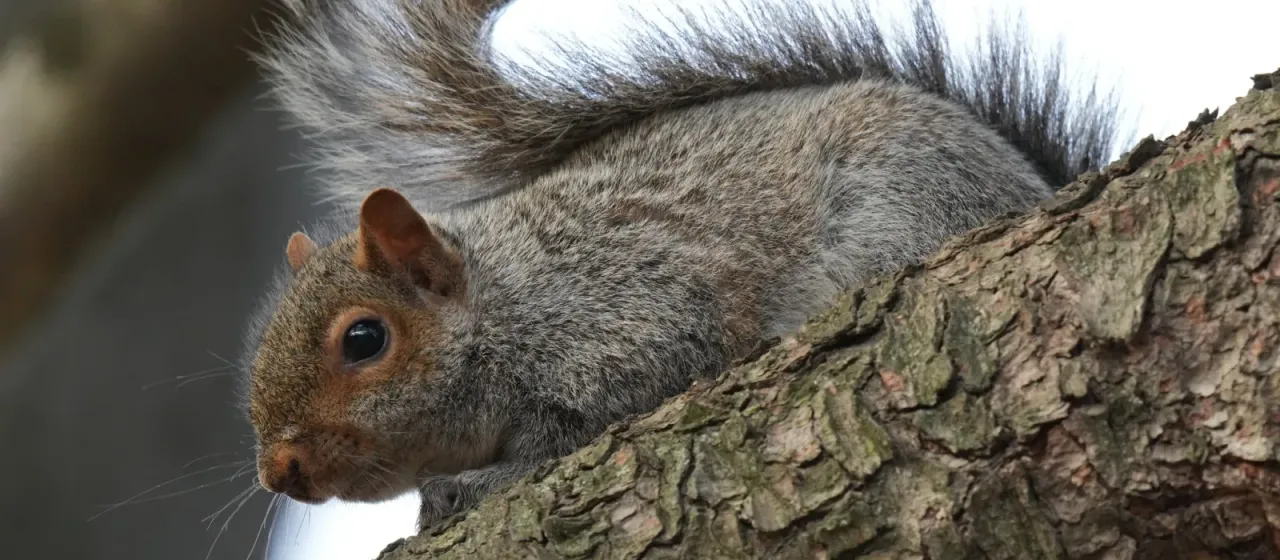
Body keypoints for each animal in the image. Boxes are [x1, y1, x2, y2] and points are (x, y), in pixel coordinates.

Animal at [241, 0, 1120, 530]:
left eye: (364, 340)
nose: (279, 472)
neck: (507, 297)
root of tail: (1030, 184)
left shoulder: (635, 316)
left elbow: (575, 432)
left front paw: (474, 486)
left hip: (905, 209)